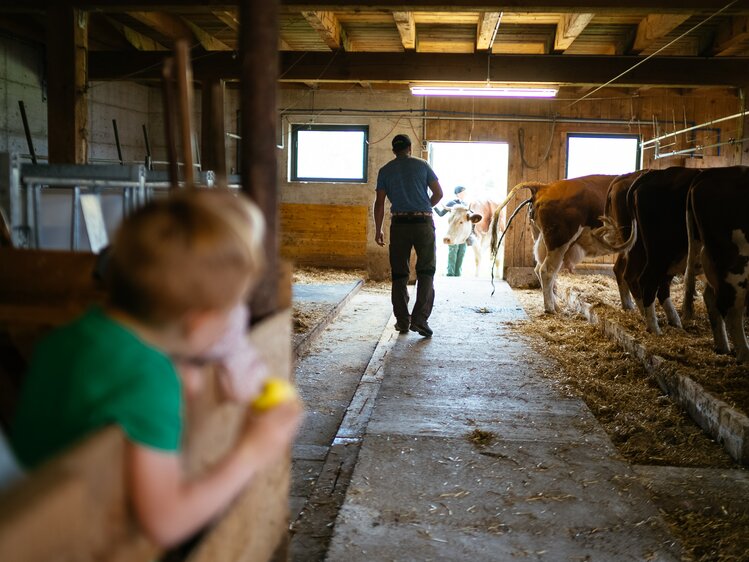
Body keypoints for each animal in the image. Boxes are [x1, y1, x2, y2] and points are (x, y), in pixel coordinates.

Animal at [488, 174, 636, 310]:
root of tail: (544, 187)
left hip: (542, 239)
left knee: (541, 268)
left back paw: (556, 305)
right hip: (560, 241)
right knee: (547, 270)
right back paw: (550, 308)